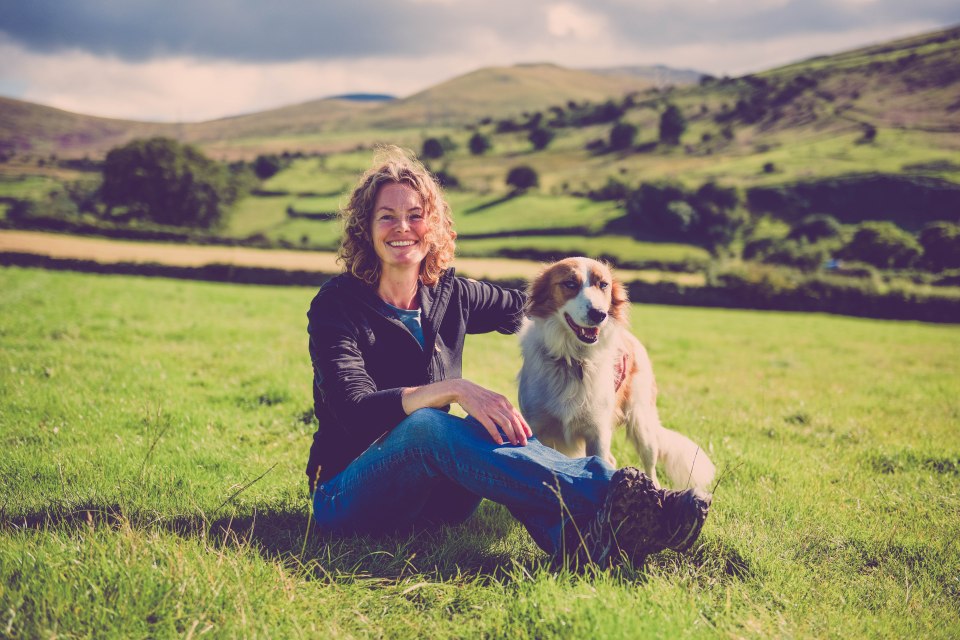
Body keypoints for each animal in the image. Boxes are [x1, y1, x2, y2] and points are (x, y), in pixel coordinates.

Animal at [516, 258, 712, 488]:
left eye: (603, 285)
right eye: (570, 284)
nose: (599, 314)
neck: (573, 359)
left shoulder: (598, 433)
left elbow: (598, 465)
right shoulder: (537, 429)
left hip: (642, 424)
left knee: (649, 466)